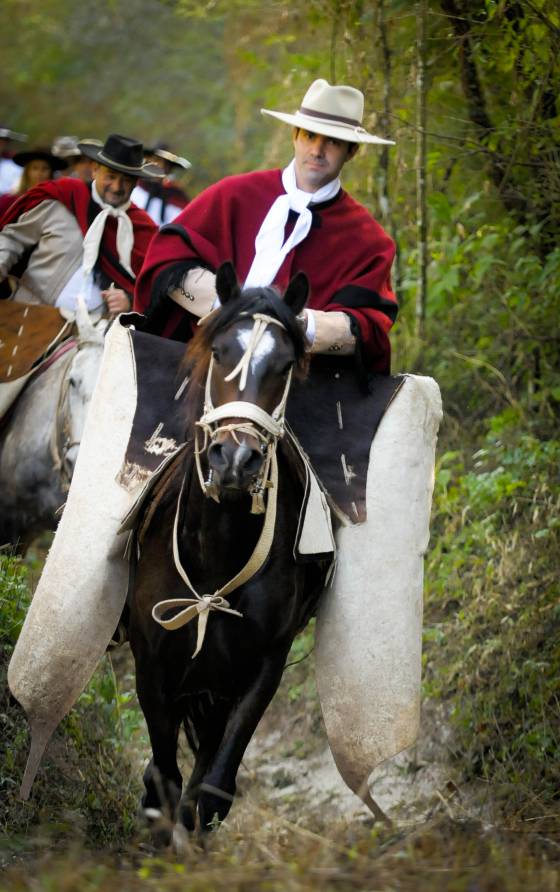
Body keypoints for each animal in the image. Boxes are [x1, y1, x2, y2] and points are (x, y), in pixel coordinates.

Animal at [129, 264, 330, 836]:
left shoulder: (259, 669)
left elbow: (210, 793)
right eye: (219, 352)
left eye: (285, 366)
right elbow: (163, 780)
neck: (216, 554)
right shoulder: (151, 664)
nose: (236, 461)